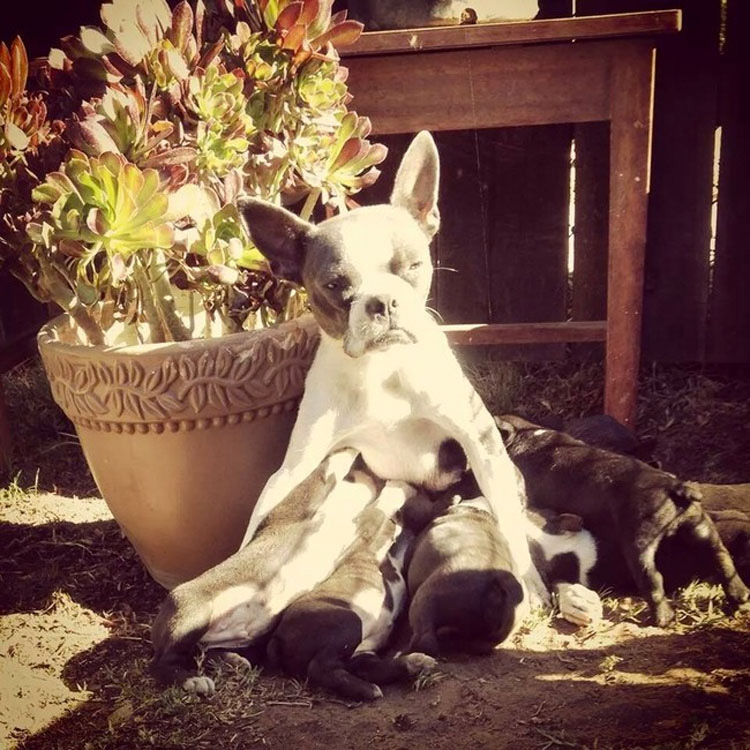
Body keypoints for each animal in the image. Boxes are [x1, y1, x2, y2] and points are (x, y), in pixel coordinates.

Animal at [151, 449, 381, 694]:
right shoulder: (305, 501)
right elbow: (328, 470)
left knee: (203, 652)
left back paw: (231, 661)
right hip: (194, 614)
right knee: (161, 663)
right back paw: (191, 680)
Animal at [236, 131, 548, 606]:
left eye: (413, 267)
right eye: (335, 286)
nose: (383, 301)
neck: (380, 370)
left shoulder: (479, 438)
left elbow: (510, 520)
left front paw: (529, 580)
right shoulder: (294, 467)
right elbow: (256, 522)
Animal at [266, 481, 437, 701]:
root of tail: (277, 637)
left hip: (362, 650)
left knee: (367, 668)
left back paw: (413, 664)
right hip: (348, 622)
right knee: (320, 667)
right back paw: (369, 688)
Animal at [495, 415, 750, 626]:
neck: (528, 436)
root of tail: (675, 489)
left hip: (639, 546)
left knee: (652, 580)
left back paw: (663, 618)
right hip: (700, 527)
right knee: (720, 556)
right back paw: (739, 595)